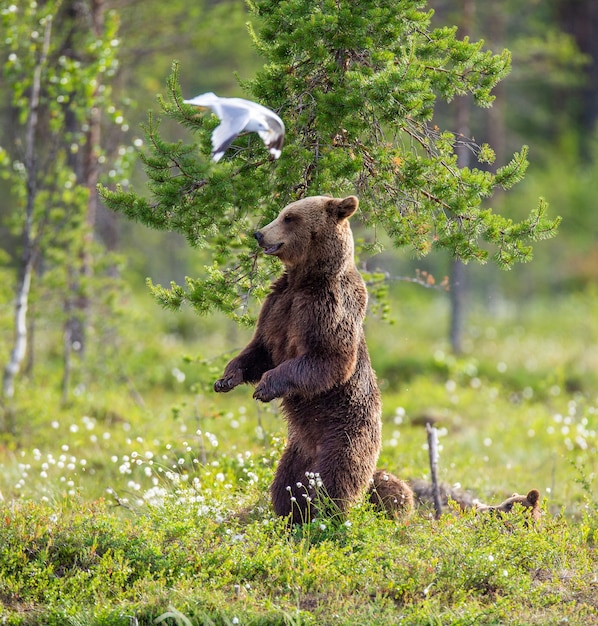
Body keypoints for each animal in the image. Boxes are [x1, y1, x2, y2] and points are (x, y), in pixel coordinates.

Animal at [216, 195, 418, 520]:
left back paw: (327, 514)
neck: (306, 278)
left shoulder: (327, 307)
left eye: (289, 217)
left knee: (338, 478)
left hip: (344, 434)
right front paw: (227, 378)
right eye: (281, 213)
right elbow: (260, 349)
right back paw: (290, 515)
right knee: (286, 482)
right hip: (296, 450)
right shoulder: (278, 305)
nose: (259, 234)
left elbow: (328, 359)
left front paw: (265, 387)